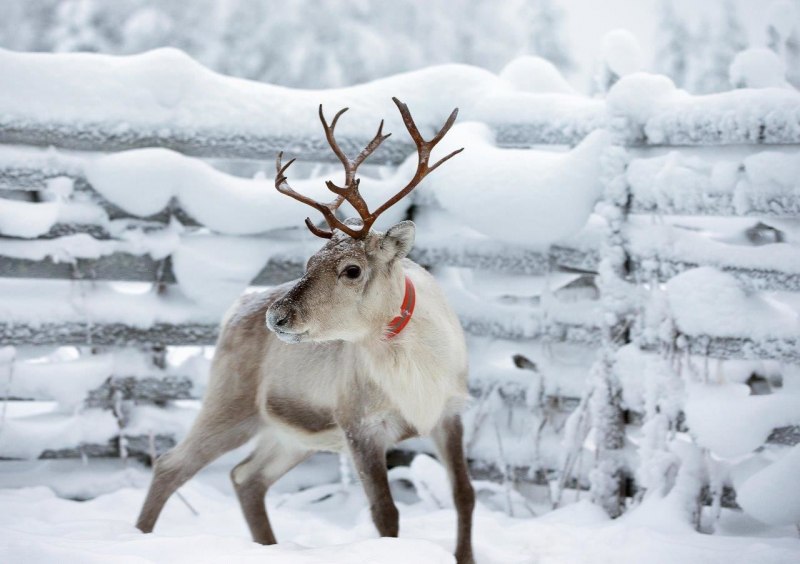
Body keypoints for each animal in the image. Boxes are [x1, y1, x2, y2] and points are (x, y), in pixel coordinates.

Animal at [136, 97, 475, 564]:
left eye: (352, 269)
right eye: (309, 262)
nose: (276, 316)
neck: (415, 363)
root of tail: (234, 312)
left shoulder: (449, 412)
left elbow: (464, 495)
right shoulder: (359, 424)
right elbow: (385, 513)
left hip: (293, 436)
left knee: (246, 477)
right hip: (231, 404)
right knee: (172, 464)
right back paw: (139, 539)